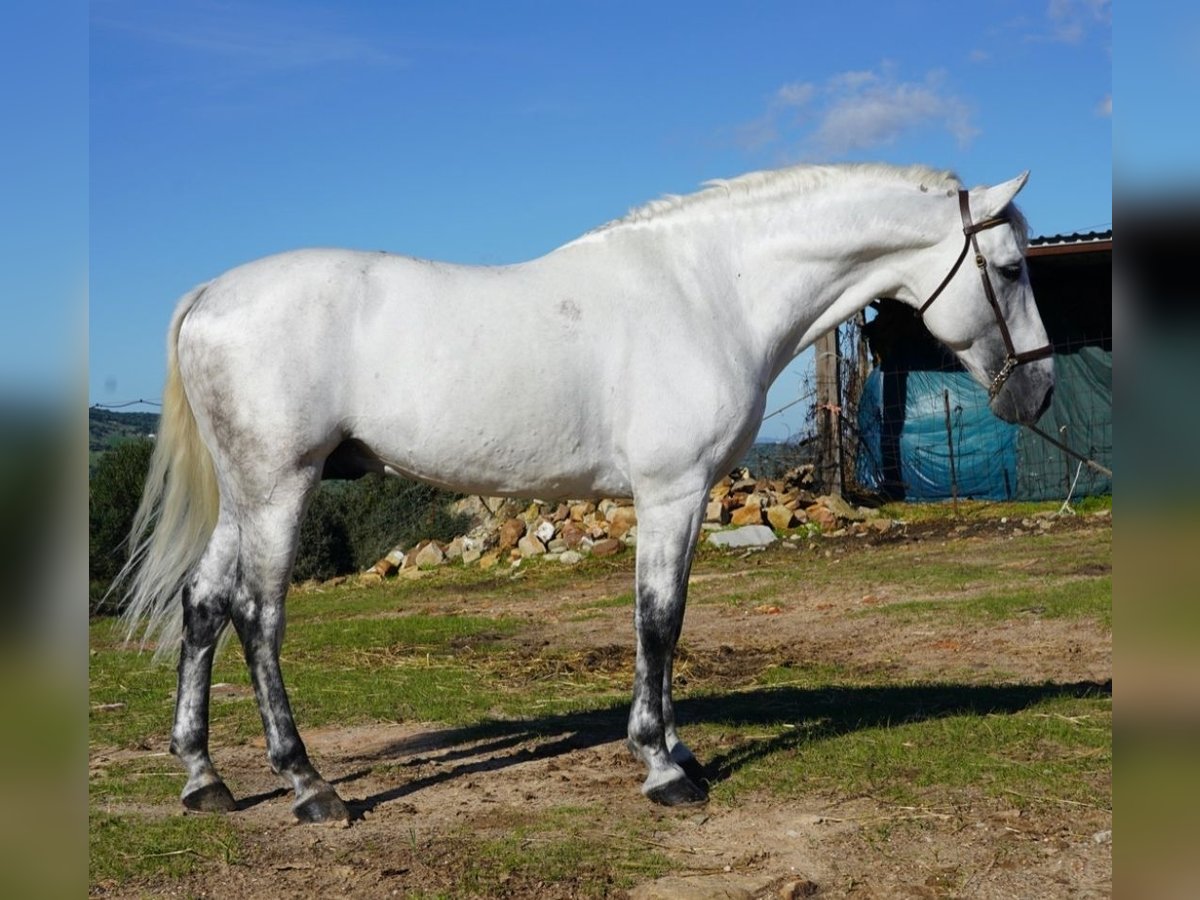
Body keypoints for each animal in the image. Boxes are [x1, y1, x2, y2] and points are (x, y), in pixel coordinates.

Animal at [112, 162, 1051, 825]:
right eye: (1008, 269)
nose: (1038, 394)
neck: (709, 292)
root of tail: (212, 294)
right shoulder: (671, 493)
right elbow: (659, 620)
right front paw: (664, 770)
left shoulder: (679, 499)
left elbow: (668, 624)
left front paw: (677, 747)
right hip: (280, 485)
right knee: (258, 616)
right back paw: (308, 786)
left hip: (247, 492)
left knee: (203, 604)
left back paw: (205, 778)